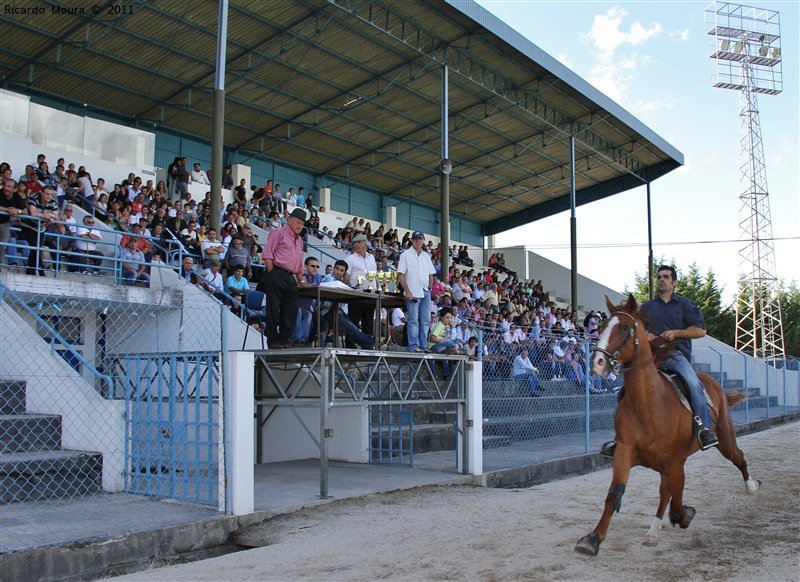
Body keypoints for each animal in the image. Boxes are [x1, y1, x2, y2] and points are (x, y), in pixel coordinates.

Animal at [572, 296, 760, 556]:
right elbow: (616, 492)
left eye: (625, 327)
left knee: (738, 457)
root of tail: (713, 383)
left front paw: (684, 515)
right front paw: (593, 538)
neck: (650, 404)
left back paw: (751, 486)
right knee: (665, 492)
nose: (597, 363)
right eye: (603, 326)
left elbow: (677, 501)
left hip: (725, 440)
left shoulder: (675, 462)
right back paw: (653, 531)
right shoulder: (625, 451)